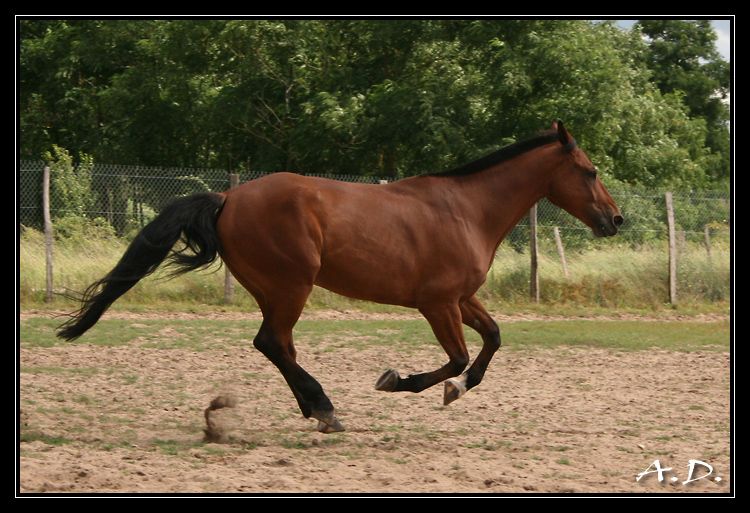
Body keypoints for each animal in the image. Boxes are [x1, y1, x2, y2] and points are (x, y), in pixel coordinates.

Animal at [58, 121, 622, 434]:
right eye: (590, 171)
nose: (616, 220)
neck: (466, 210)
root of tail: (228, 197)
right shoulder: (437, 303)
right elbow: (458, 357)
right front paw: (401, 381)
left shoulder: (462, 298)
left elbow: (493, 341)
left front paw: (457, 390)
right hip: (292, 285)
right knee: (273, 343)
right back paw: (325, 409)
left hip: (274, 289)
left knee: (276, 345)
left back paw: (317, 409)